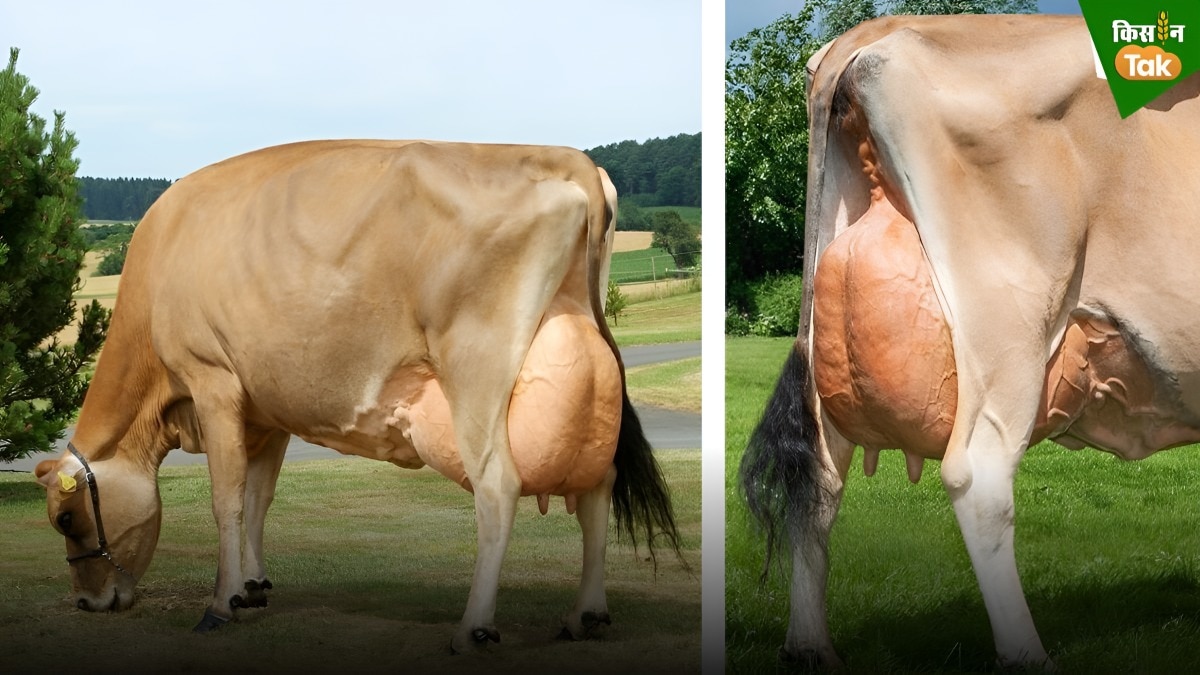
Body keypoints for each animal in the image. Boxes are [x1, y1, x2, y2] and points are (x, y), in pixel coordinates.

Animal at [33, 140, 679, 654]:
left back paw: (473, 628)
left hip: (476, 370)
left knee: (499, 487)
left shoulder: (212, 380)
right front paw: (253, 587)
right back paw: (585, 615)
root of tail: (566, 157)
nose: (88, 603)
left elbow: (228, 502)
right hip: (583, 358)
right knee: (597, 485)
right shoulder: (267, 410)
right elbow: (260, 499)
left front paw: (220, 605)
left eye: (66, 519)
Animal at [739, 14, 1200, 670]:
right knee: (977, 474)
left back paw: (811, 649)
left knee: (821, 475)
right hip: (1009, 324)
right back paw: (1028, 655)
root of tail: (877, 32)